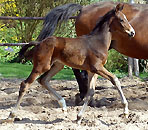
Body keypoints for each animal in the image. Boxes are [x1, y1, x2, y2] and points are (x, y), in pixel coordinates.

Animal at [1, 3, 135, 124]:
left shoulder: (93, 70)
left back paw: (63, 105)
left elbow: (90, 92)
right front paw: (125, 111)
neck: (98, 41)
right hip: (41, 66)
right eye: (121, 19)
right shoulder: (97, 67)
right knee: (25, 84)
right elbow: (115, 79)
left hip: (57, 65)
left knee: (43, 80)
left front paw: (79, 117)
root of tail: (39, 43)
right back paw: (11, 115)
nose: (132, 32)